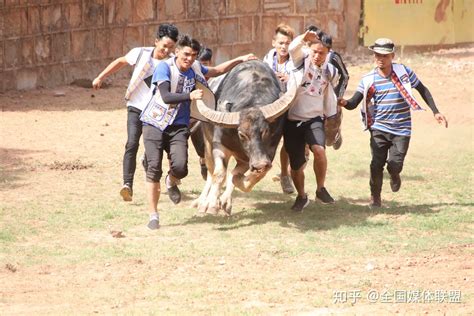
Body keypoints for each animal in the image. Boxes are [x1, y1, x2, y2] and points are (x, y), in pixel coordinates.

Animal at [191, 59, 294, 215]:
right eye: (241, 134)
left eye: (265, 131)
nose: (259, 164)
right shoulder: (219, 146)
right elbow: (219, 174)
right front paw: (211, 205)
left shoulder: (266, 154)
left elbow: (247, 176)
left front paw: (235, 183)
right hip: (207, 145)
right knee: (210, 171)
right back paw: (202, 201)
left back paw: (226, 201)